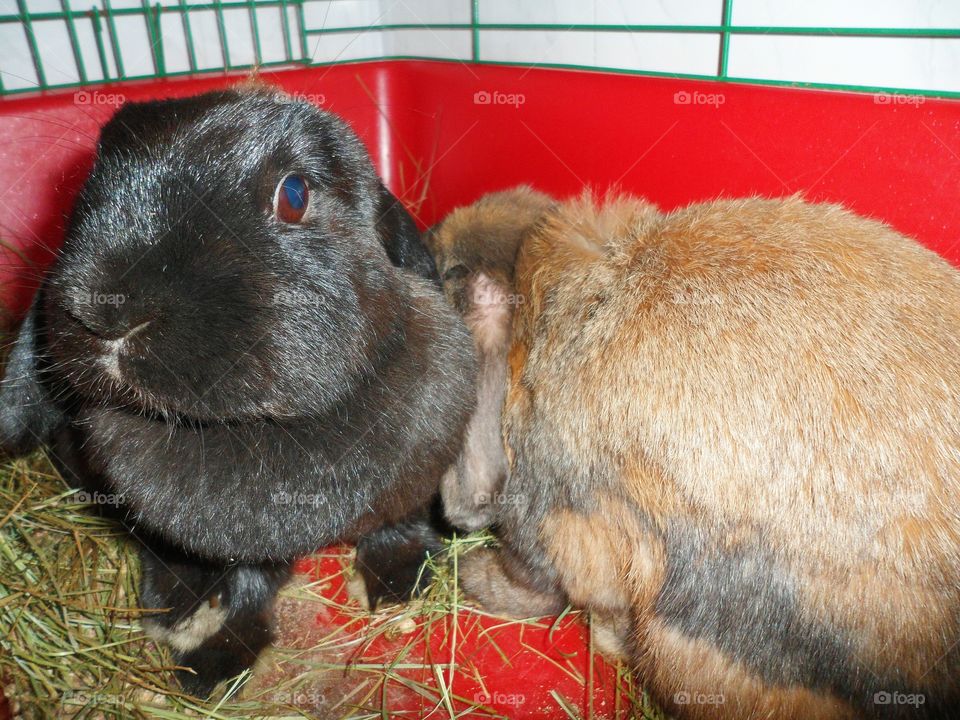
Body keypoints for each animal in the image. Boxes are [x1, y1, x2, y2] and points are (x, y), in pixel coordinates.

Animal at [0, 85, 477, 697]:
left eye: (294, 194)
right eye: (94, 179)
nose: (103, 309)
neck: (267, 423)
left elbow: (399, 521)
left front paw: (400, 581)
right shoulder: (234, 540)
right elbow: (249, 586)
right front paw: (216, 667)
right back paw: (174, 601)